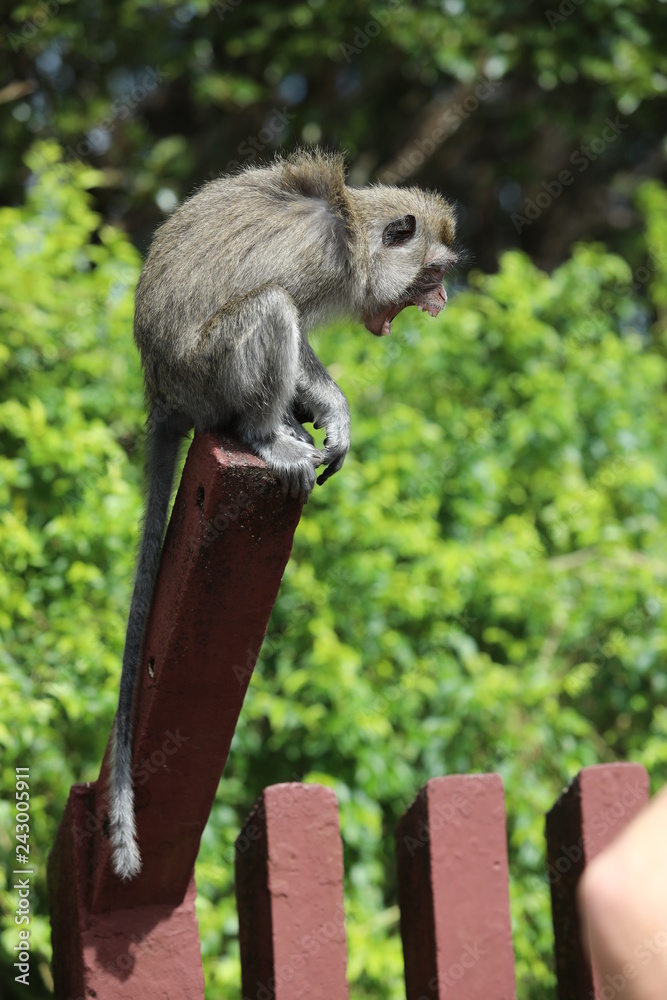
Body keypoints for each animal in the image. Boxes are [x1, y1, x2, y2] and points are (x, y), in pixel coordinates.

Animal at [108, 148, 458, 880]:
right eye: (432, 275)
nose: (440, 303)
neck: (352, 229)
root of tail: (161, 394)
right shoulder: (318, 263)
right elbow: (291, 313)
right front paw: (333, 408)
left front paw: (325, 415)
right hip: (208, 374)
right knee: (270, 312)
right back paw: (265, 434)